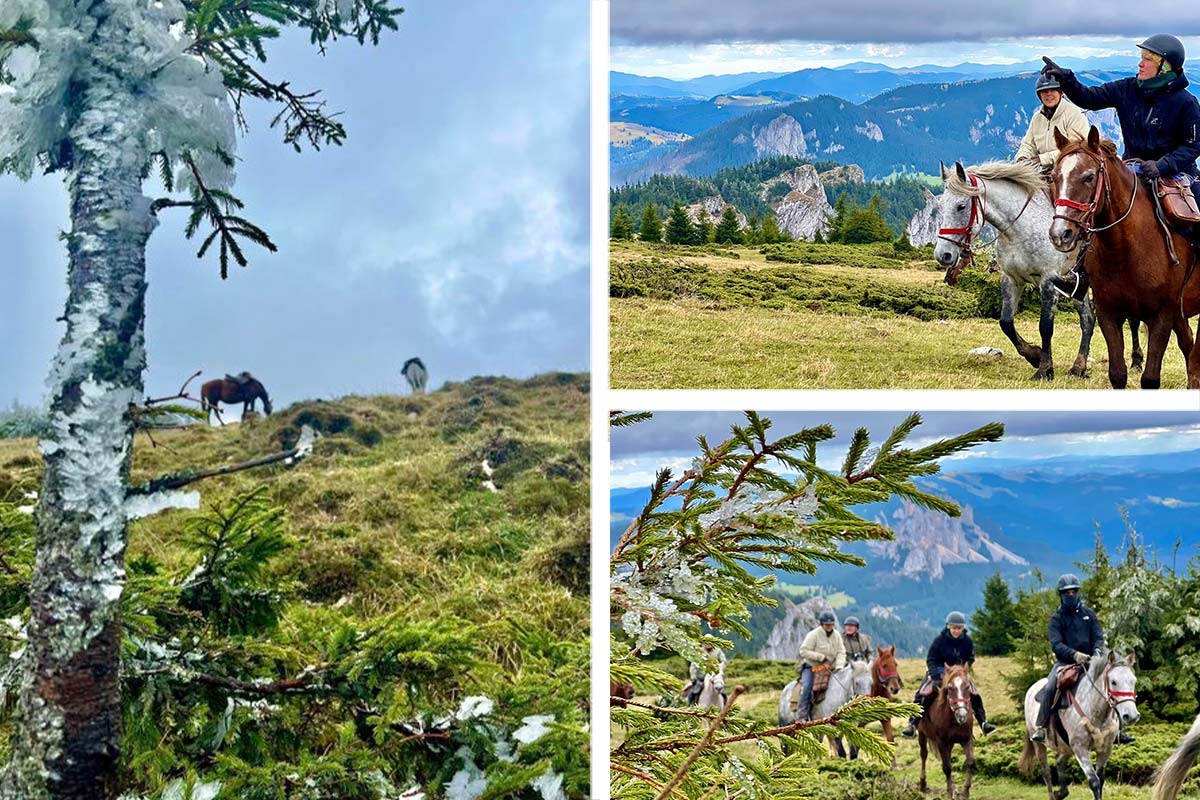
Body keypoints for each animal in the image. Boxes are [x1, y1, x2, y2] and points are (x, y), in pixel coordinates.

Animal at [916, 662, 974, 800]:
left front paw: (965, 791)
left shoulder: (966, 739)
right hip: (922, 734)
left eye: (967, 686)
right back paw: (923, 784)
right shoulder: (941, 742)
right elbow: (947, 767)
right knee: (924, 754)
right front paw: (949, 792)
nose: (962, 715)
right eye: (950, 688)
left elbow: (969, 762)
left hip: (950, 744)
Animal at [1022, 652, 1142, 800]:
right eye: (1114, 682)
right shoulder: (1080, 748)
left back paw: (1061, 793)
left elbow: (1101, 780)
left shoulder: (1105, 749)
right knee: (1046, 772)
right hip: (1040, 745)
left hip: (1066, 746)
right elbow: (1094, 781)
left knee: (1059, 761)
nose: (1131, 716)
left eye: (1133, 681)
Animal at [1051, 125, 1200, 391]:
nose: (1061, 234)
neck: (1125, 249)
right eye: (1054, 177)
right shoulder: (1109, 313)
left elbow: (1150, 379)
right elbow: (1118, 374)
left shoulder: (1162, 315)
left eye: (1089, 177)